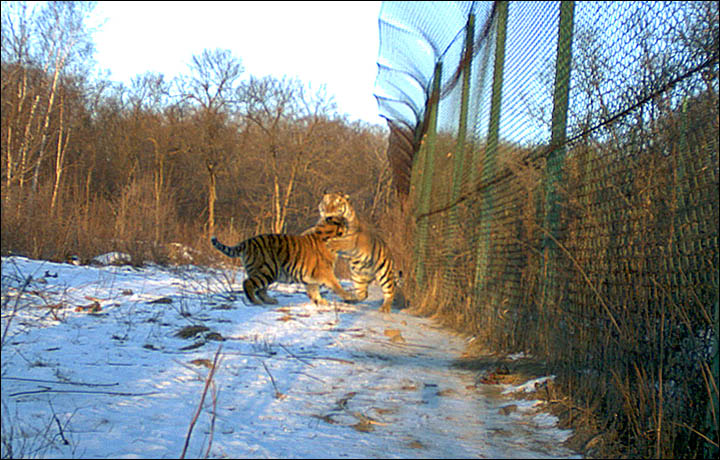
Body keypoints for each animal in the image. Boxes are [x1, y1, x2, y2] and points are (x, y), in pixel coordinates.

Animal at [211, 216, 358, 306]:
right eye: (345, 223)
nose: (352, 227)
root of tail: (246, 242)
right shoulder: (325, 272)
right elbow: (336, 284)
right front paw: (349, 296)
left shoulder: (312, 276)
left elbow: (313, 289)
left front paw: (320, 302)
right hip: (267, 270)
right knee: (248, 283)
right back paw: (255, 302)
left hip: (267, 271)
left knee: (260, 290)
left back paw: (270, 301)